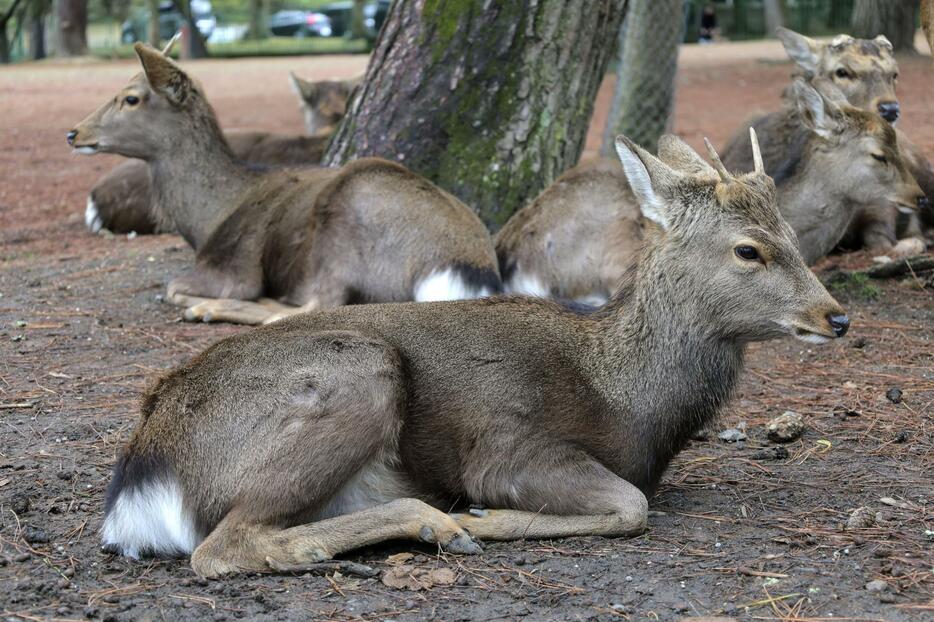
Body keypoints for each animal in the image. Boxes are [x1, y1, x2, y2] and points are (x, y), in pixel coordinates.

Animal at [98, 130, 852, 580]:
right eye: (749, 249)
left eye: (794, 234)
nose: (837, 316)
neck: (631, 401)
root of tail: (142, 475)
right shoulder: (506, 445)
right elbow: (632, 504)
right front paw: (485, 517)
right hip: (358, 372)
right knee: (218, 546)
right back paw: (435, 523)